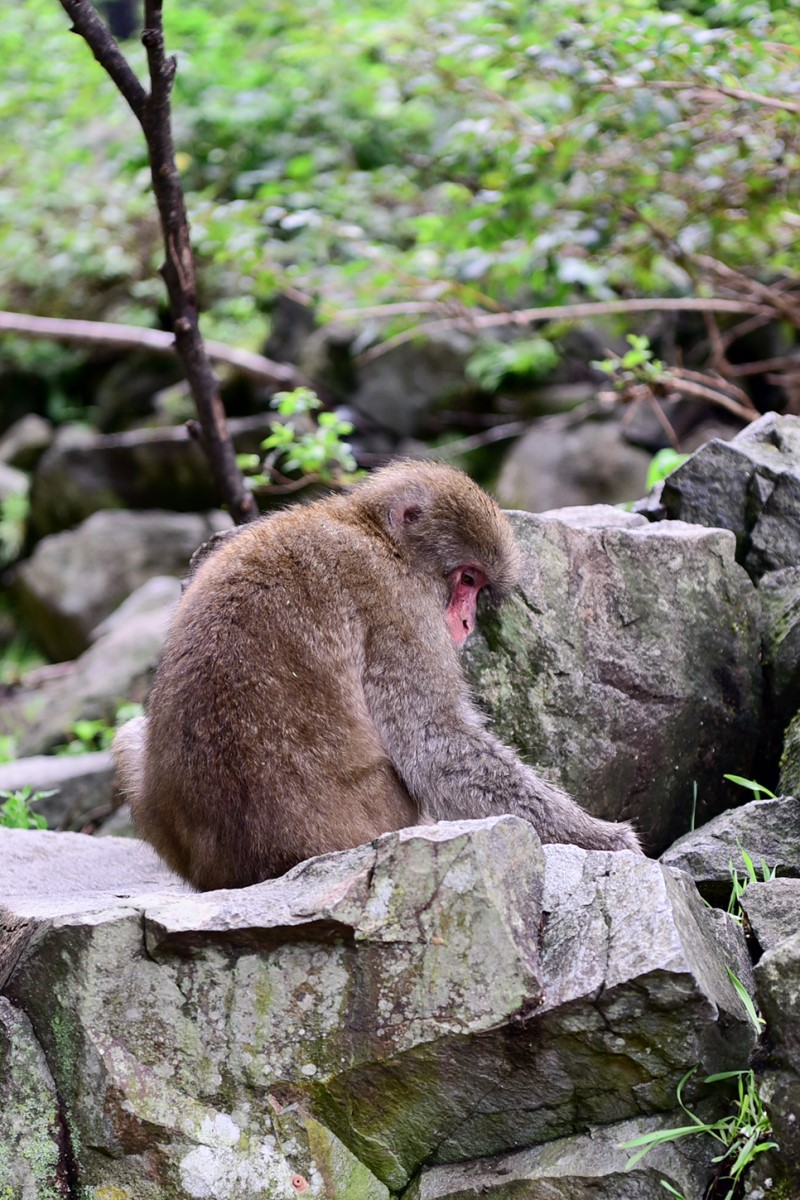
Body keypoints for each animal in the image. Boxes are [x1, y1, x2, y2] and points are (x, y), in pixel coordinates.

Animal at [112, 460, 642, 892]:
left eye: (478, 587)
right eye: (467, 578)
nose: (466, 623)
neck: (372, 532)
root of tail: (251, 869)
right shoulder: (401, 605)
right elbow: (434, 744)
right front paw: (603, 838)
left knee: (128, 733)